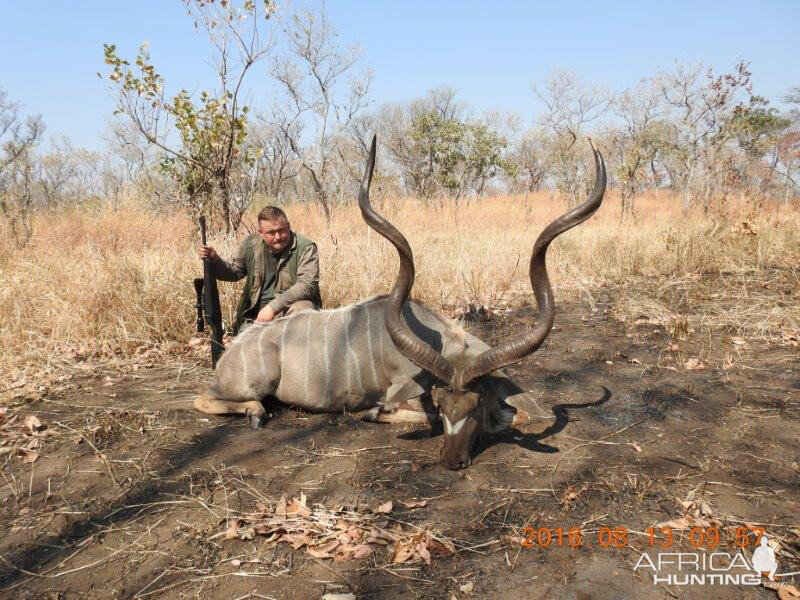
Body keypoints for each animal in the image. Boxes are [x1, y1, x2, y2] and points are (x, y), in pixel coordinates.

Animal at [195, 136, 608, 468]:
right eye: (439, 403)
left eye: (473, 404)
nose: (452, 461)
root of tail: (231, 353)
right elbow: (410, 414)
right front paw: (374, 414)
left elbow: (515, 413)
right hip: (249, 385)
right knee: (207, 398)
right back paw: (255, 412)